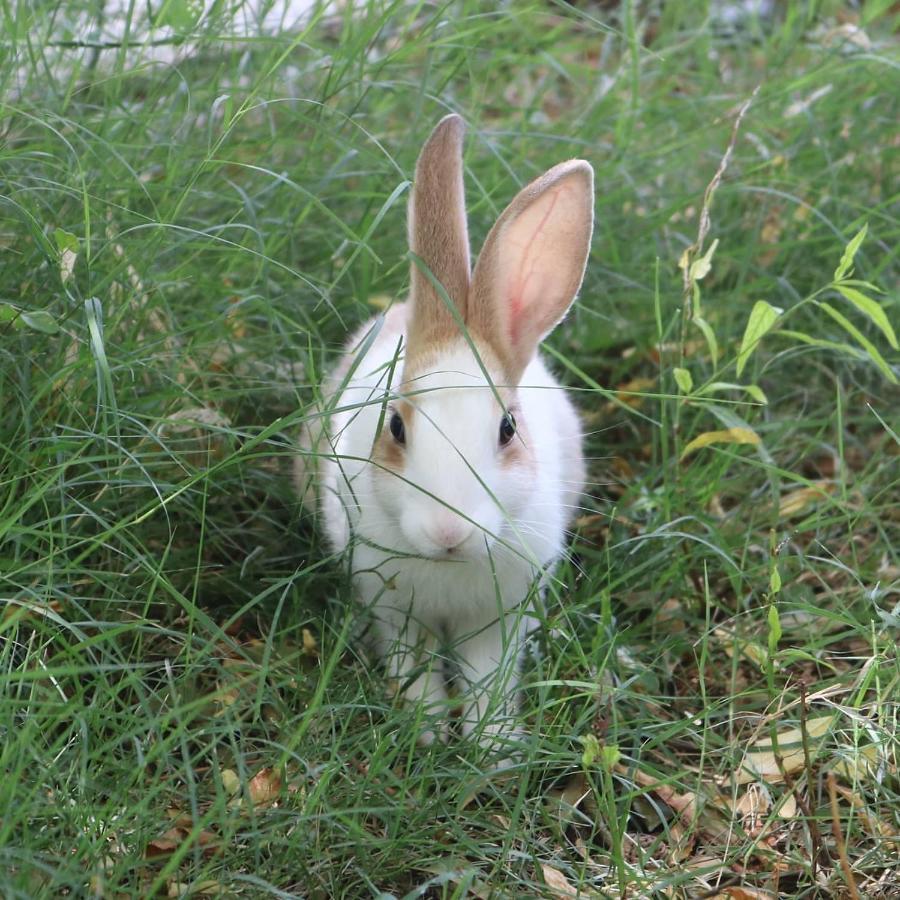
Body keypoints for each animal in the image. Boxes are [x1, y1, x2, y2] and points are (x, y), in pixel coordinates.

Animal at [298, 116, 596, 752]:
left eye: (508, 428)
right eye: (395, 425)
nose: (448, 531)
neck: (451, 568)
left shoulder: (500, 619)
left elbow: (488, 678)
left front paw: (495, 748)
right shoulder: (396, 612)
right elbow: (416, 671)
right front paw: (429, 734)